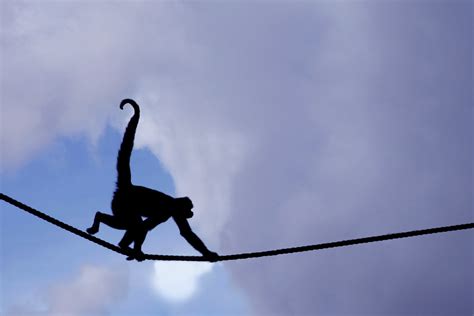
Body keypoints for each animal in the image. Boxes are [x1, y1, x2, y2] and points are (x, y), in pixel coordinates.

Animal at [86, 99, 218, 262]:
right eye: (190, 208)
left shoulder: (175, 213)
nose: (192, 213)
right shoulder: (166, 211)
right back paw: (114, 235)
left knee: (130, 223)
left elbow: (186, 233)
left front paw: (208, 254)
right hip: (122, 203)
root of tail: (128, 186)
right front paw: (135, 250)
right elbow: (145, 226)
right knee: (133, 223)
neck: (174, 201)